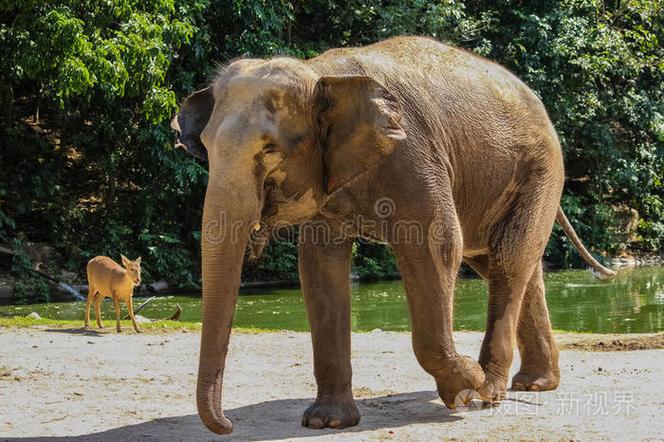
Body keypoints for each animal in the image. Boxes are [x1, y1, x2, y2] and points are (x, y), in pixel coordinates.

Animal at [171, 36, 615, 434]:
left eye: (269, 150)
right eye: (206, 147)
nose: (228, 424)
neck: (320, 72)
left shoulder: (413, 156)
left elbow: (438, 244)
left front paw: (465, 387)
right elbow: (319, 265)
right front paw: (327, 422)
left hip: (541, 168)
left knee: (508, 259)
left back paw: (490, 389)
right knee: (509, 262)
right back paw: (533, 384)